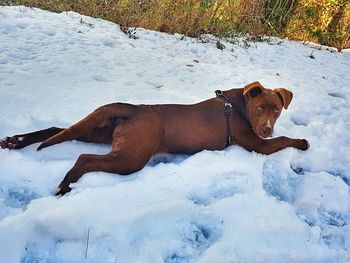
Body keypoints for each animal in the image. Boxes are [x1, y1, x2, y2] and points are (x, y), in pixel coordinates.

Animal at [0, 82, 308, 196]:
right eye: (259, 109)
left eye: (276, 110)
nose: (266, 129)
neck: (238, 107)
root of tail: (134, 109)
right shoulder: (258, 145)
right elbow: (284, 139)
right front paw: (303, 142)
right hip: (131, 157)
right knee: (84, 158)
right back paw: (65, 185)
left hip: (101, 132)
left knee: (56, 130)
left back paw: (16, 140)